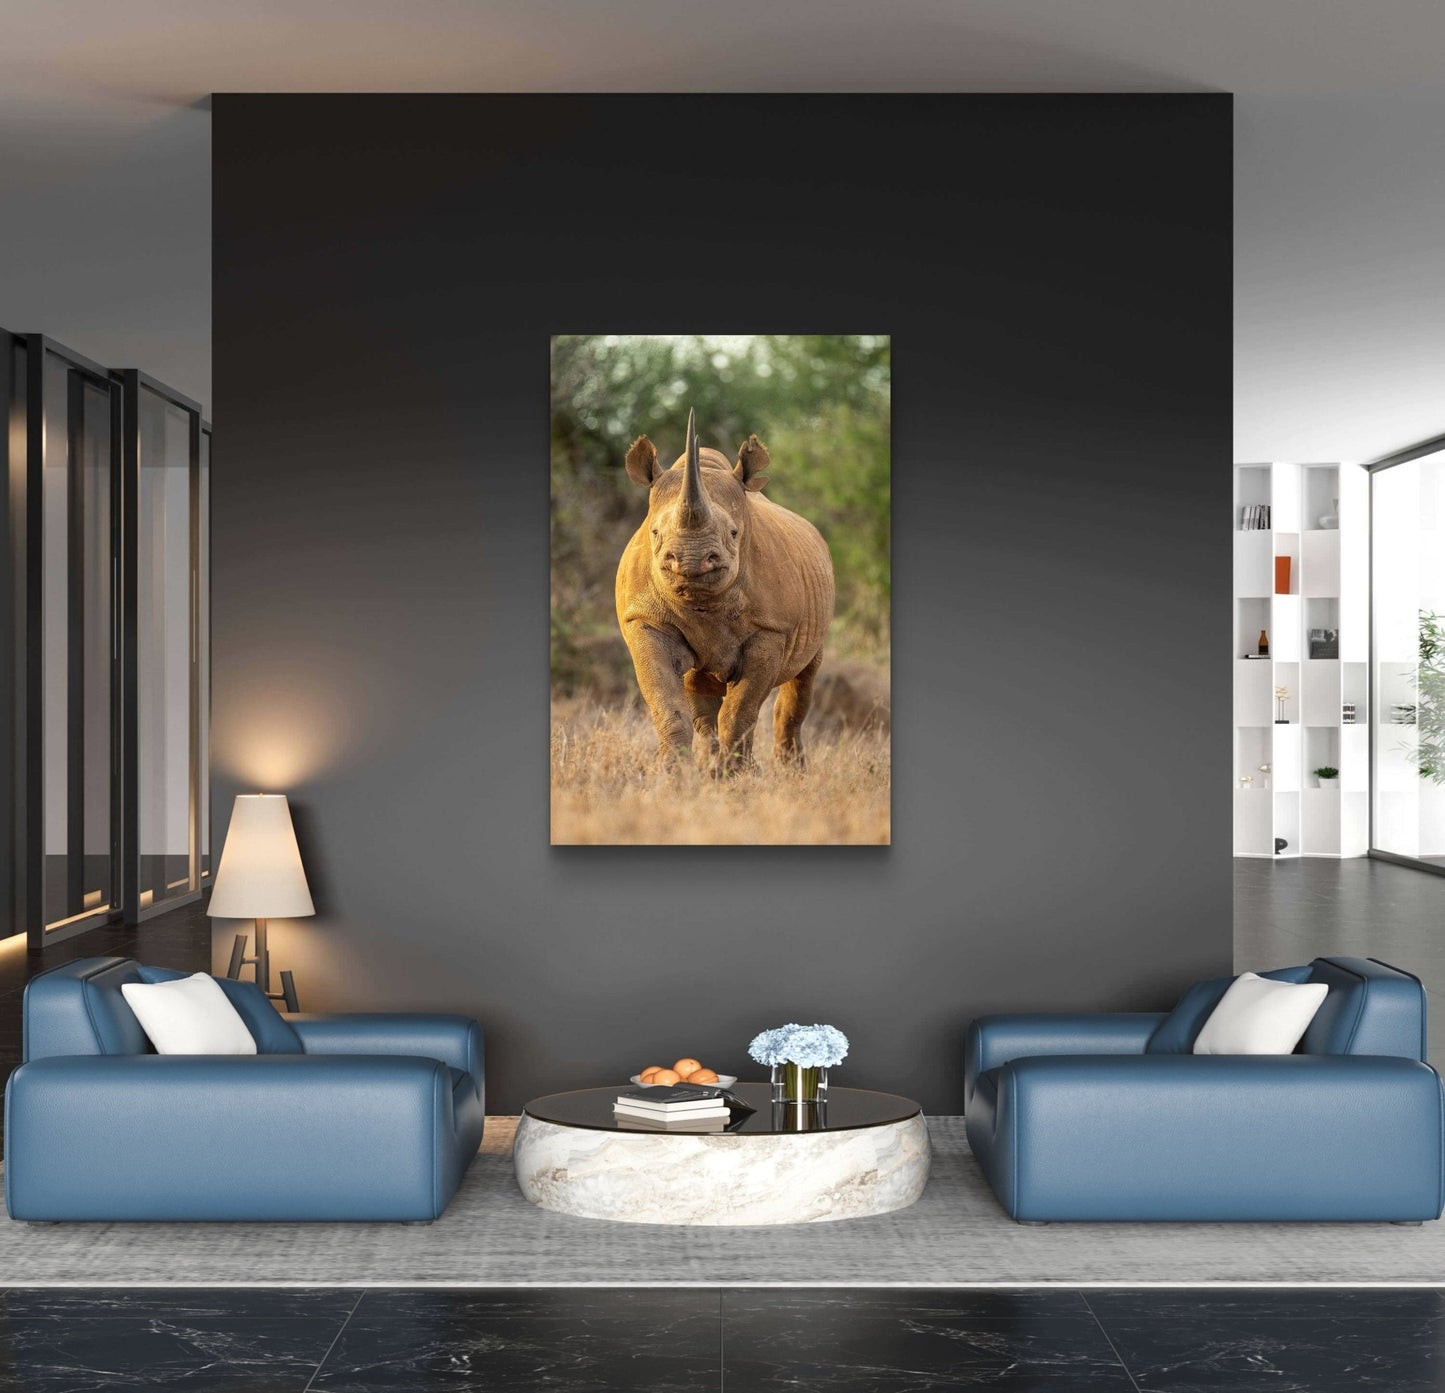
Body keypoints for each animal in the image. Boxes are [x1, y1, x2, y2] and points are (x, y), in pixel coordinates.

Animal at [615, 409, 835, 772]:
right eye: (655, 532)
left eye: (733, 533)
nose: (691, 560)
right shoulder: (647, 620)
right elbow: (667, 704)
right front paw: (669, 773)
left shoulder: (770, 630)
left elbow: (739, 711)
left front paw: (734, 776)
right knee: (699, 690)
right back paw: (710, 766)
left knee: (803, 678)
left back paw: (789, 770)